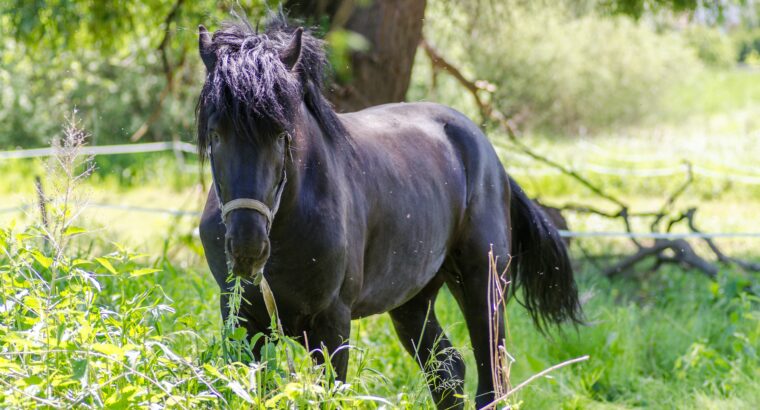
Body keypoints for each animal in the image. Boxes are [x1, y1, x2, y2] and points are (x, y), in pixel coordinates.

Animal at [197, 14, 580, 408]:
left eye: (281, 134)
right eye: (215, 134)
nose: (247, 247)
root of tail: (489, 154)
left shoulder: (332, 323)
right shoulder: (241, 320)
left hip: (484, 286)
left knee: (491, 381)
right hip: (414, 301)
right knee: (447, 369)